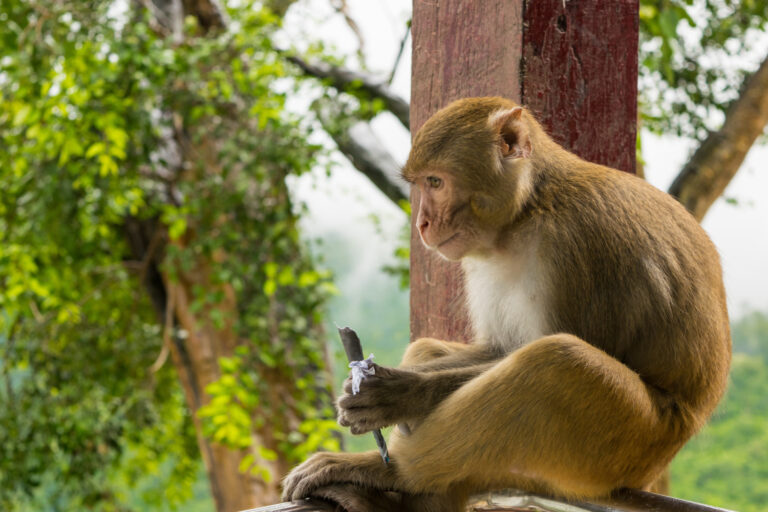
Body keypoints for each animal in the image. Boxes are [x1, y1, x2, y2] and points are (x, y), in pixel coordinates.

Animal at [282, 97, 731, 511]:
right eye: (422, 184)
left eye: (436, 182)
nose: (422, 223)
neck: (527, 211)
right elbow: (498, 348)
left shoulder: (576, 244)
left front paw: (400, 394)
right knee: (440, 350)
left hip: (629, 449)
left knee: (559, 362)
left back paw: (397, 473)